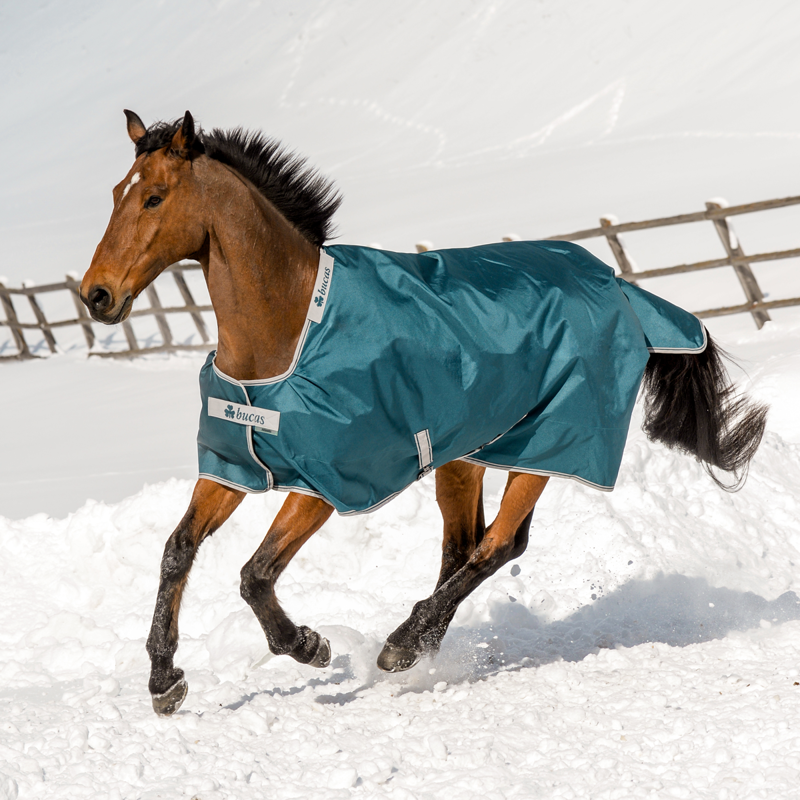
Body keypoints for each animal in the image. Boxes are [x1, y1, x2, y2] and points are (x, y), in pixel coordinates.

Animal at [81, 110, 768, 716]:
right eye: (116, 193)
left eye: (155, 198)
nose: (97, 296)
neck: (288, 330)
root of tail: (621, 286)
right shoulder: (235, 465)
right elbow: (178, 550)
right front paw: (164, 680)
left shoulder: (329, 482)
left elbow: (255, 573)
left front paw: (308, 645)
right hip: (464, 455)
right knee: (463, 547)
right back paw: (423, 641)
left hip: (550, 444)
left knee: (498, 545)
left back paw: (402, 645)